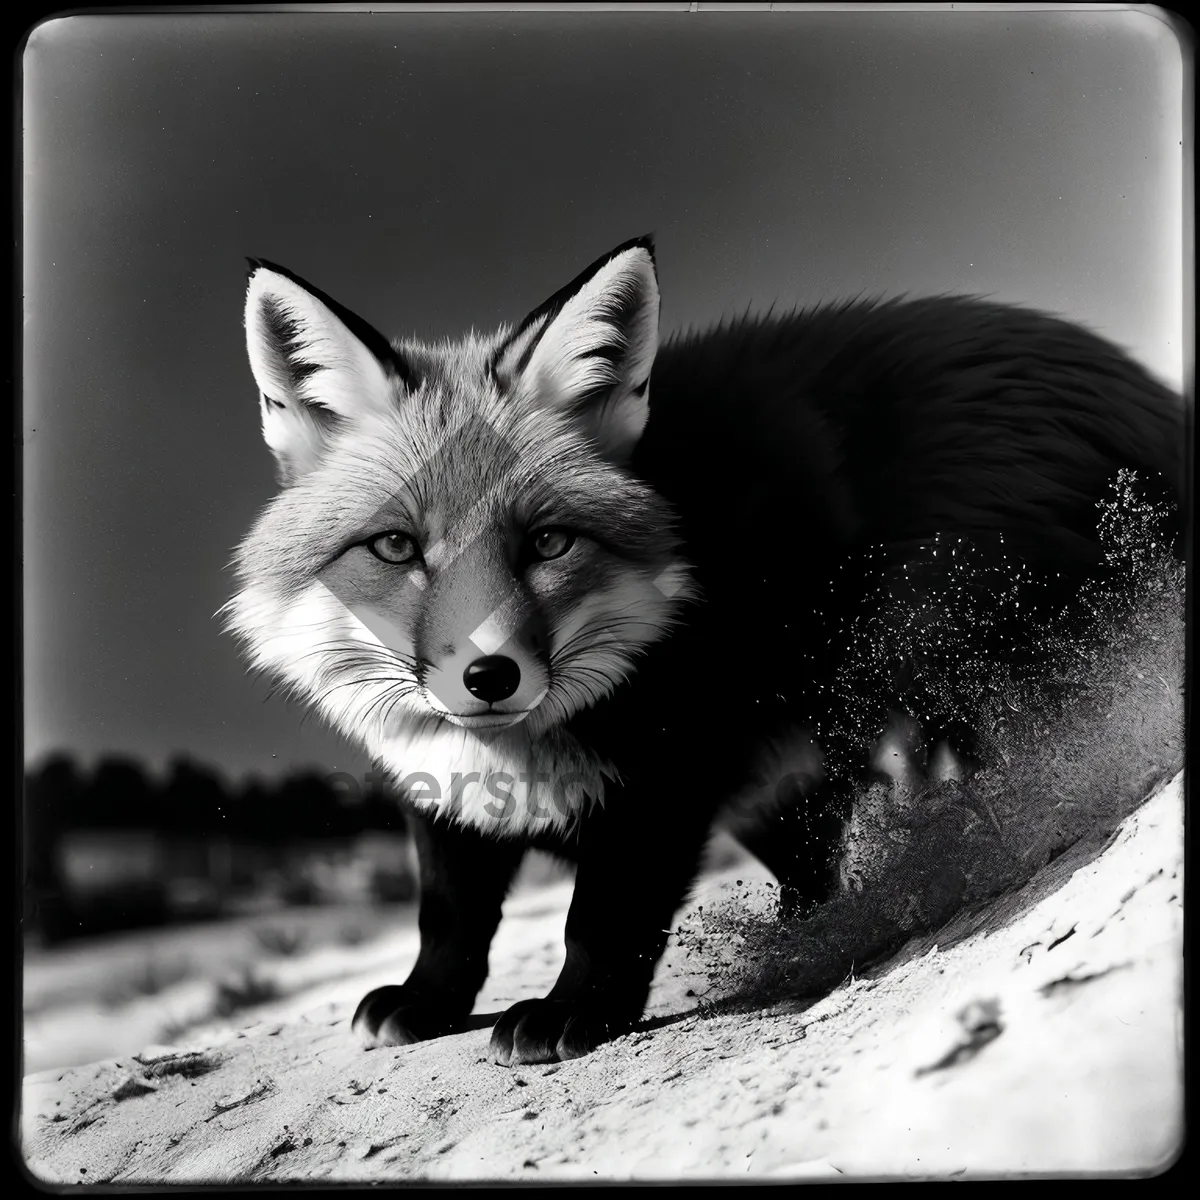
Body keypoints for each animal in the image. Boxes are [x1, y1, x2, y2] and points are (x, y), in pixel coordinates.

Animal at [225, 238, 1180, 1065]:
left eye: (547, 542)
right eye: (395, 548)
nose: (489, 675)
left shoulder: (666, 781)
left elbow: (602, 917)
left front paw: (574, 1012)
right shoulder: (442, 793)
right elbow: (449, 915)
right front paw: (429, 1002)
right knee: (816, 852)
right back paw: (813, 936)